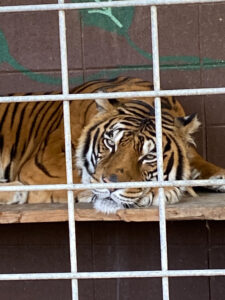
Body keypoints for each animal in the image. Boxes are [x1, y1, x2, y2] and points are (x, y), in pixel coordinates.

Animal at [0, 77, 225, 213]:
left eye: (149, 156)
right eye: (110, 143)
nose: (111, 185)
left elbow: (196, 159)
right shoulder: (41, 168)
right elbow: (81, 179)